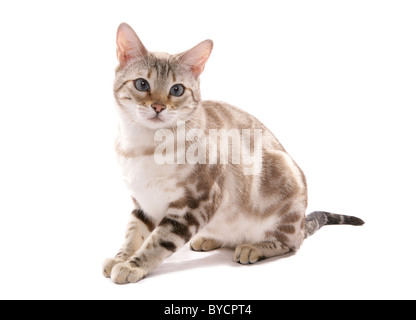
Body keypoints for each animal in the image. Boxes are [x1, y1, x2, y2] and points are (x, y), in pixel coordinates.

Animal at [103, 21, 364, 284]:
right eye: (142, 84)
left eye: (176, 90)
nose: (158, 107)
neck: (141, 146)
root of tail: (301, 223)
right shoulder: (143, 203)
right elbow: (133, 233)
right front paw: (119, 258)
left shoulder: (193, 204)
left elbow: (158, 241)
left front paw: (133, 266)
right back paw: (210, 239)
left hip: (285, 185)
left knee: (291, 243)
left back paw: (253, 247)